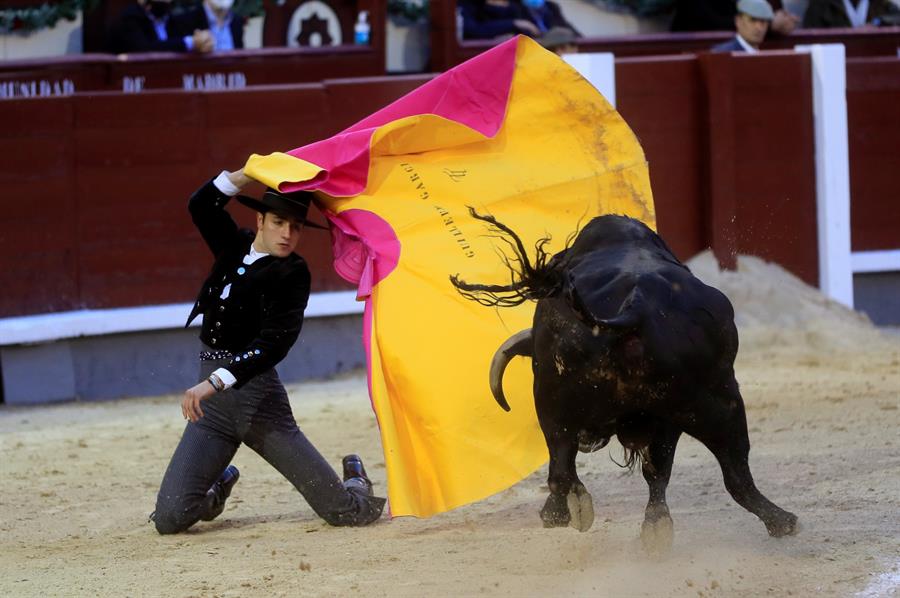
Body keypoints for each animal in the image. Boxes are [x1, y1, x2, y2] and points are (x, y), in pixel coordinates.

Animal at [454, 212, 800, 548]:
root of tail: (635, 307)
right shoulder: (666, 419)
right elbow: (659, 469)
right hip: (715, 402)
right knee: (731, 473)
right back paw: (775, 522)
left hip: (555, 399)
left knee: (564, 464)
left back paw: (564, 513)